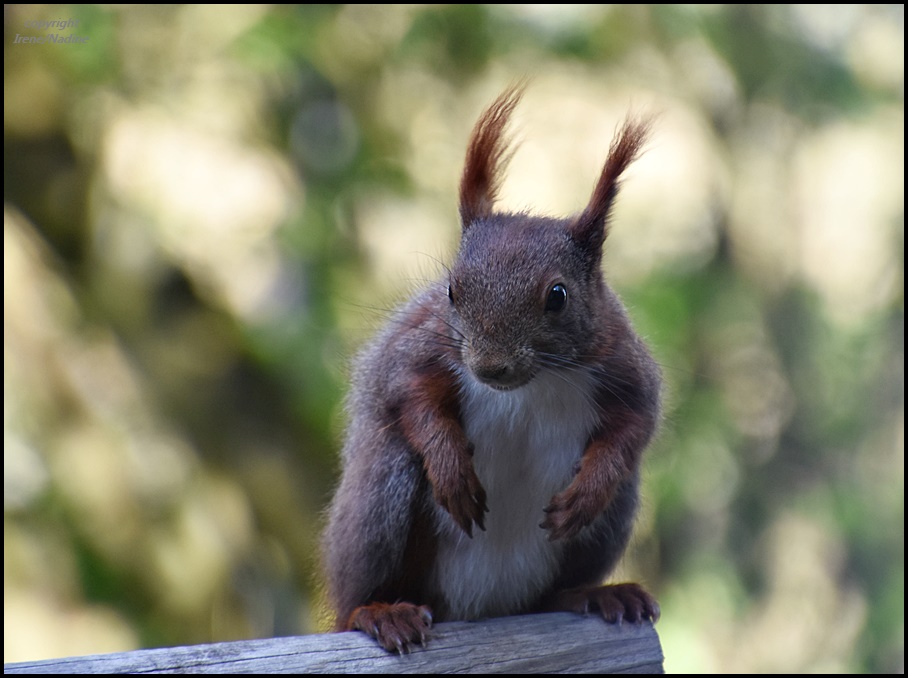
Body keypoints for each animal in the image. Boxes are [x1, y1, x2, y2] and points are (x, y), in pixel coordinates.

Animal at [322, 85, 664, 652]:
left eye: (558, 296)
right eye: (451, 290)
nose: (490, 367)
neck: (533, 382)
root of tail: (479, 606)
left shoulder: (622, 364)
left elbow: (636, 426)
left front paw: (587, 492)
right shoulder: (420, 348)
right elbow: (408, 395)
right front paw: (449, 468)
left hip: (611, 520)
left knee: (559, 586)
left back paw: (595, 595)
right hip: (381, 497)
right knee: (356, 595)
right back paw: (379, 612)